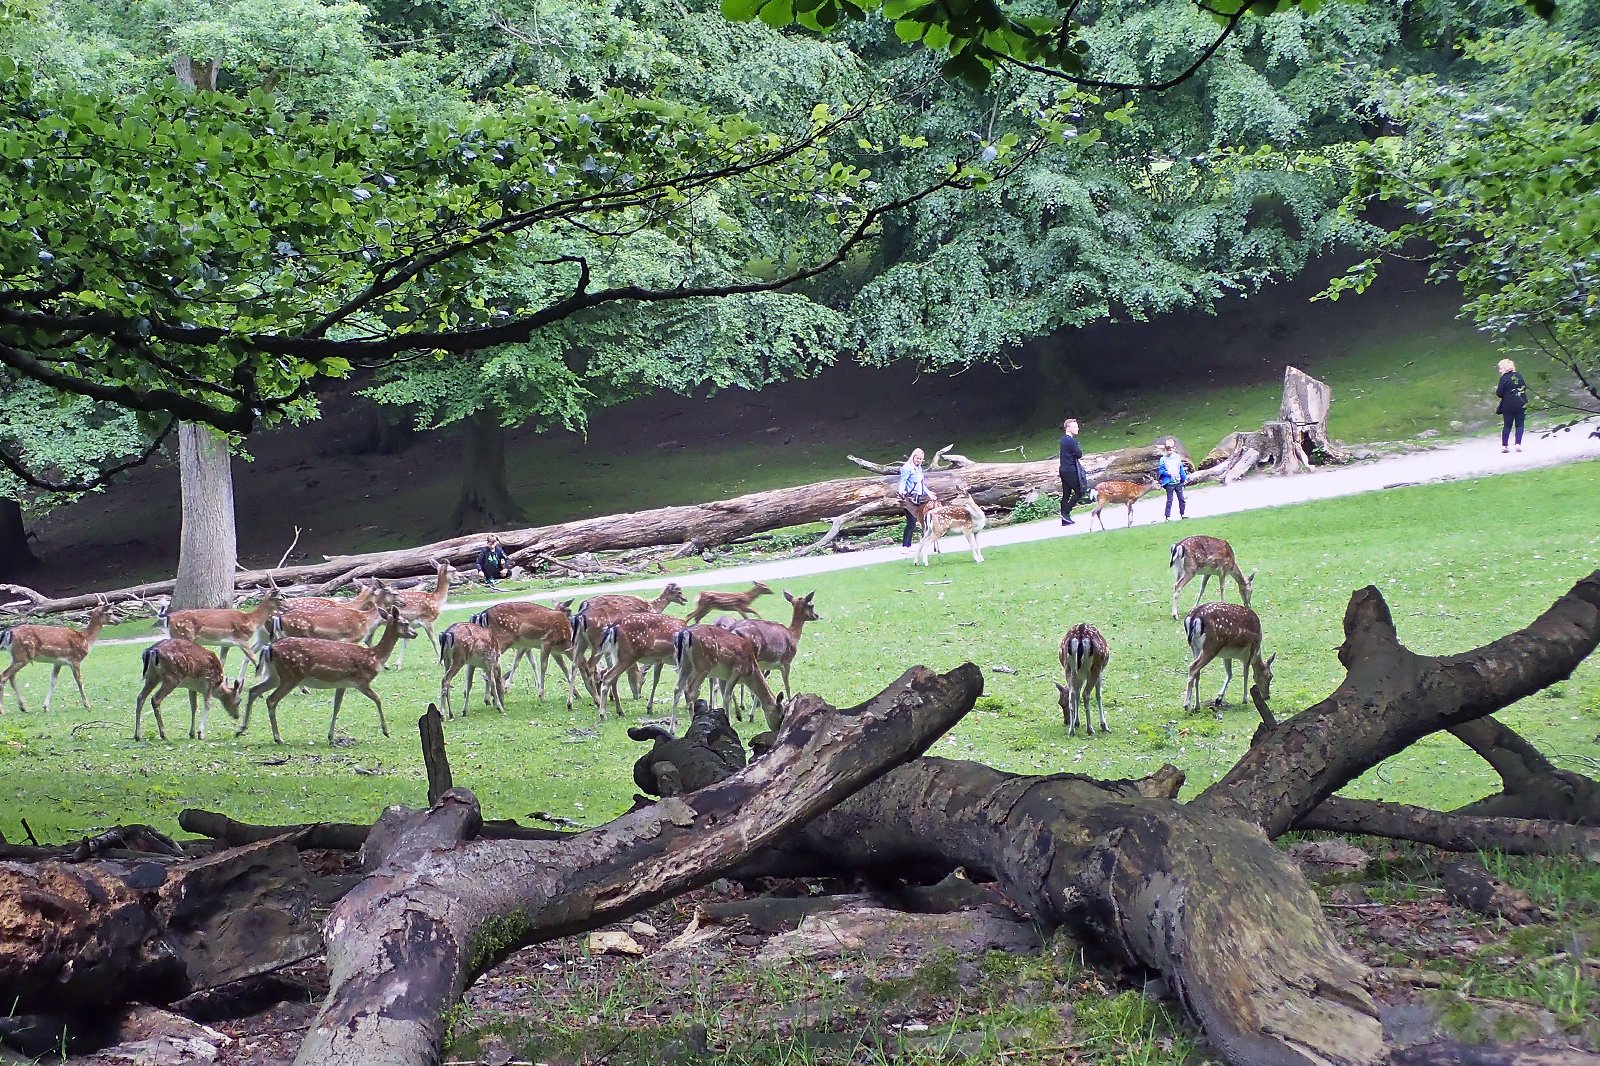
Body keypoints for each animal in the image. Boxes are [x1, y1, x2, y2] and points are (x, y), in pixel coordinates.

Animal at [238, 601, 416, 742]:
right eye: (406, 623)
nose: (415, 633)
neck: (374, 657)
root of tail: (269, 648)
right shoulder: (361, 681)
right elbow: (378, 699)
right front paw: (386, 731)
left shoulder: (343, 683)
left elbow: (336, 706)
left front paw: (331, 736)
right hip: (291, 675)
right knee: (271, 700)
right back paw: (278, 738)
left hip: (275, 675)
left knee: (254, 691)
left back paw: (241, 729)